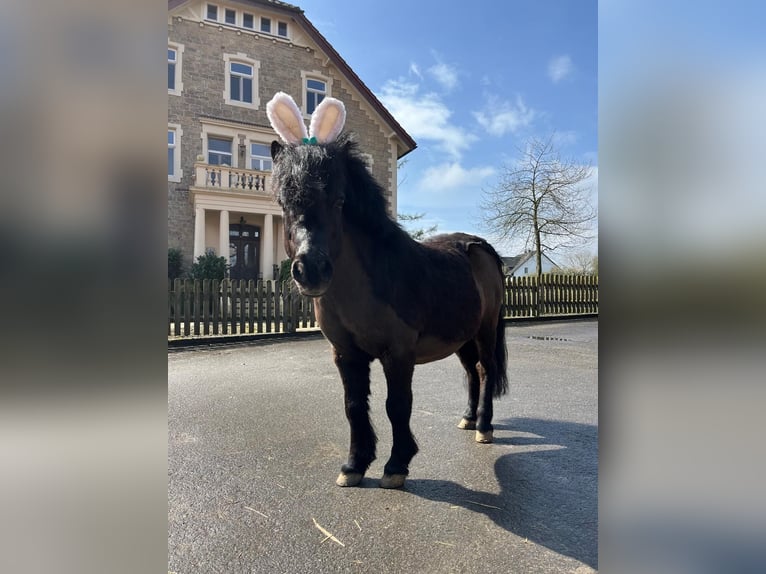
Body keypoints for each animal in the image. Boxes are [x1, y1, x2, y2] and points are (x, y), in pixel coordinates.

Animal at [268, 93, 508, 490]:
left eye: (338, 201)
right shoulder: (346, 354)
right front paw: (354, 465)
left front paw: (396, 465)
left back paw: (484, 427)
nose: (311, 270)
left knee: (487, 370)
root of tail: (481, 247)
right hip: (463, 336)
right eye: (284, 203)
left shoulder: (398, 353)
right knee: (473, 372)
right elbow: (353, 406)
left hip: (486, 330)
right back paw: (468, 418)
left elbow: (396, 406)